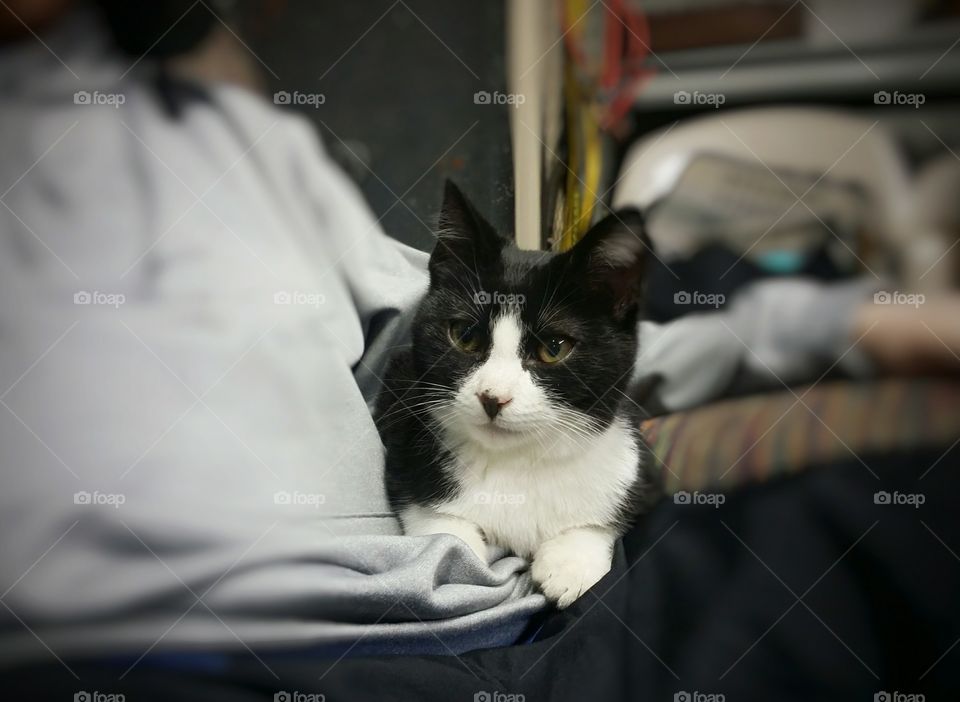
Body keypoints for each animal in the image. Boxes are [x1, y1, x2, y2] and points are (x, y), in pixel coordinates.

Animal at [376, 183, 660, 612]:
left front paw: (570, 562)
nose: (493, 397)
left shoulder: (633, 463)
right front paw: (457, 551)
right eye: (465, 336)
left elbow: (605, 516)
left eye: (554, 348)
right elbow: (437, 527)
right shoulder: (402, 409)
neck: (519, 462)